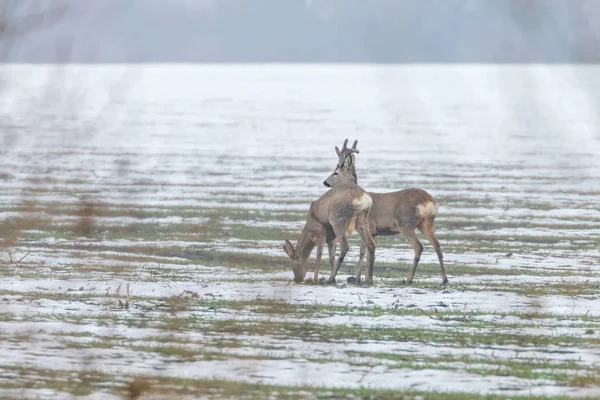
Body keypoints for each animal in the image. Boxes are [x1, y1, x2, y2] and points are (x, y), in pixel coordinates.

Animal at [282, 142, 376, 282]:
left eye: (292, 263)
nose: (297, 279)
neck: (309, 223)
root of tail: (363, 198)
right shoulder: (331, 238)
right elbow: (331, 257)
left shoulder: (321, 231)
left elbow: (319, 254)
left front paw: (315, 279)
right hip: (362, 221)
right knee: (371, 244)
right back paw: (368, 280)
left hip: (337, 219)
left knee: (345, 246)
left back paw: (331, 278)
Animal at [324, 139, 446, 286]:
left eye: (335, 172)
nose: (325, 182)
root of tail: (428, 201)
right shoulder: (374, 232)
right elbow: (366, 254)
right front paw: (362, 278)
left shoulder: (369, 227)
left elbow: (364, 253)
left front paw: (361, 279)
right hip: (426, 223)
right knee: (437, 245)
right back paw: (444, 280)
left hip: (406, 224)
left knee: (419, 247)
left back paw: (408, 279)